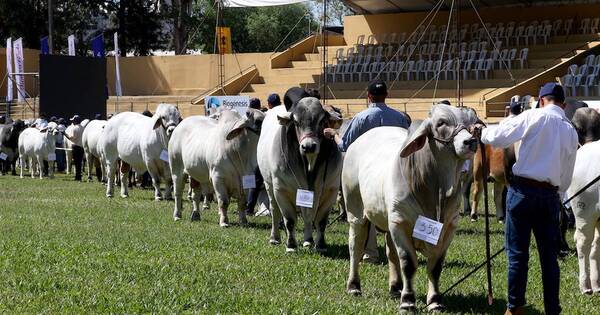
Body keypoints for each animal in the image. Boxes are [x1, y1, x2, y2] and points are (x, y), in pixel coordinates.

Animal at [342, 105, 478, 312]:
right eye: (441, 123)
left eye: (469, 123)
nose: (470, 141)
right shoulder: (400, 223)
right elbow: (408, 263)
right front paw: (407, 301)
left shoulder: (448, 228)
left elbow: (435, 266)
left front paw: (435, 301)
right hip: (356, 212)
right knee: (355, 247)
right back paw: (354, 286)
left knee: (391, 253)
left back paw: (395, 287)